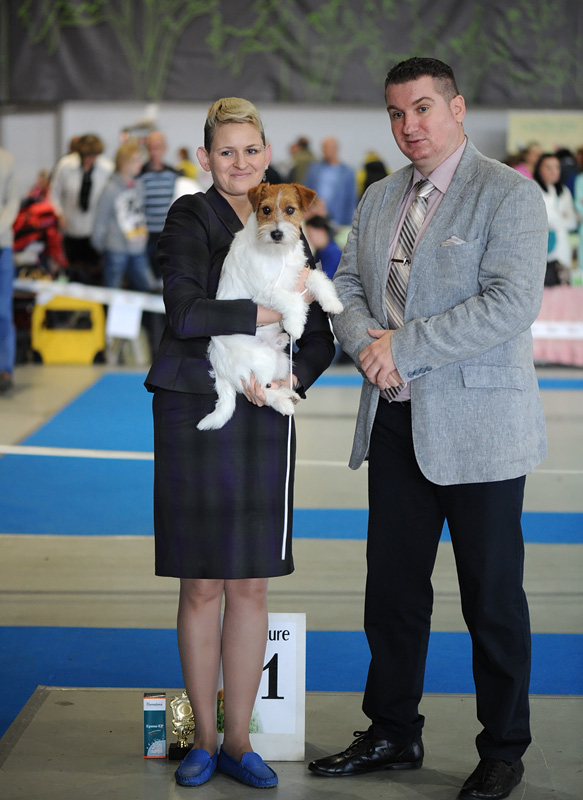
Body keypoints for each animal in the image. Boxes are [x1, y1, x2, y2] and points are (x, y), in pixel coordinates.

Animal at [197, 183, 342, 432]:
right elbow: (291, 300)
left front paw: (333, 302)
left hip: (282, 361)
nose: (276, 234)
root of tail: (219, 369)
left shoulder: (298, 274)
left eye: (290, 210)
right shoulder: (266, 292)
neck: (278, 253)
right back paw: (284, 403)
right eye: (265, 209)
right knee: (264, 390)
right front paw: (295, 325)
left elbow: (317, 278)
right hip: (262, 360)